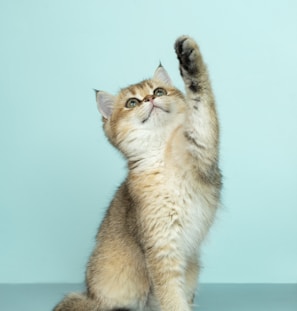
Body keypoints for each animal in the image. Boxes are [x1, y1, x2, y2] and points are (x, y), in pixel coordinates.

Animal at [53, 35, 221, 311]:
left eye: (159, 91)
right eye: (132, 103)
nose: (150, 99)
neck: (163, 153)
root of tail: (90, 295)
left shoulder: (202, 145)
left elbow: (201, 102)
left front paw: (189, 56)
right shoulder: (160, 246)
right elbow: (170, 297)